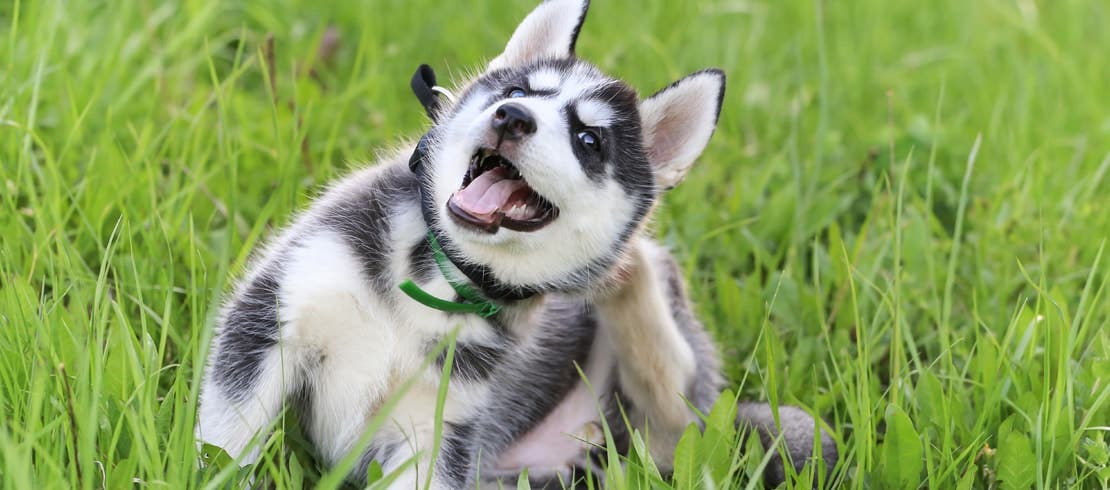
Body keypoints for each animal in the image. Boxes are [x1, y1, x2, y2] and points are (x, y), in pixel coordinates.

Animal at [199, 0, 834, 484]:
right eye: (517, 89)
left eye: (588, 139)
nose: (512, 117)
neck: (437, 278)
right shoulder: (269, 321)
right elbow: (224, 445)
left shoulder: (437, 430)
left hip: (673, 424)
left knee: (675, 402)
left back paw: (630, 272)